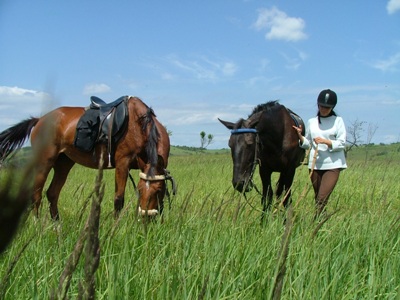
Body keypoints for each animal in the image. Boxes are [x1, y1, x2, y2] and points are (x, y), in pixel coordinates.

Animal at [0, 96, 173, 220]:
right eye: (140, 189)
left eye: (158, 190)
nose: (146, 218)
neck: (139, 126)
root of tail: (39, 120)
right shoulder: (122, 164)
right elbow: (118, 199)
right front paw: (115, 227)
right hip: (44, 162)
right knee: (36, 195)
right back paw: (37, 225)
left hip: (64, 163)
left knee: (52, 193)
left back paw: (56, 224)